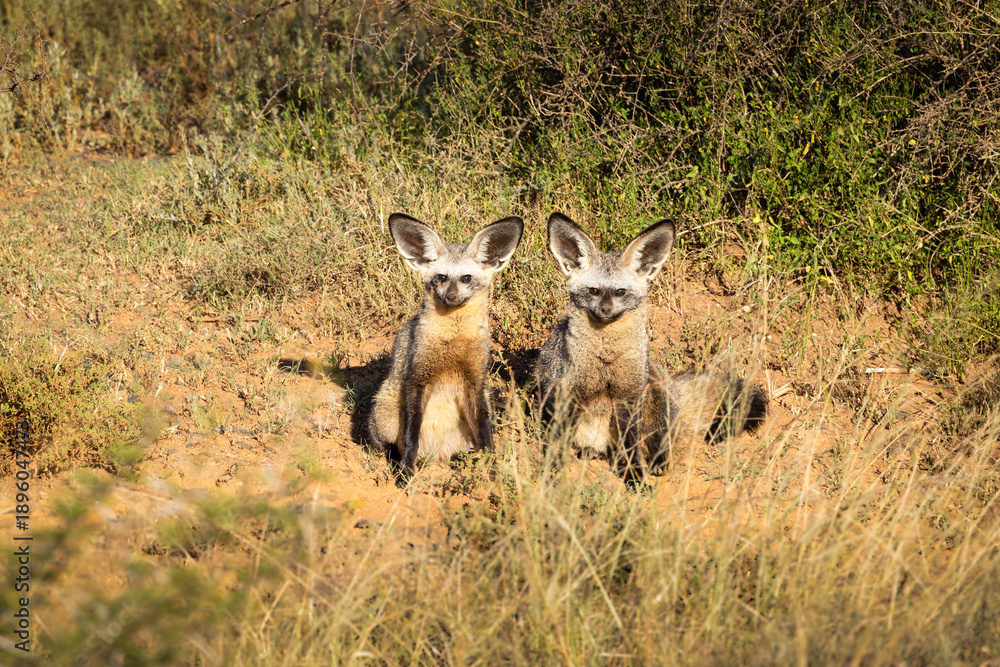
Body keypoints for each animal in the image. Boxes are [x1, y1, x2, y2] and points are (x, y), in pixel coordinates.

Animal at [366, 213, 524, 481]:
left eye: (466, 278)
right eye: (441, 278)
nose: (451, 298)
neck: (454, 343)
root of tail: (436, 454)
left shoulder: (475, 381)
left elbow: (485, 433)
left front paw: (492, 466)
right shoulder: (418, 378)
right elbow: (411, 436)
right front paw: (407, 470)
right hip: (384, 411)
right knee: (388, 447)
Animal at [535, 212, 767, 488]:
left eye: (620, 292)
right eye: (594, 291)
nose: (605, 310)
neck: (606, 359)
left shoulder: (629, 396)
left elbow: (630, 448)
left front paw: (634, 474)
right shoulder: (567, 396)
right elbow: (556, 445)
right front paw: (551, 474)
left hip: (655, 391)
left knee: (657, 444)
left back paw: (656, 463)